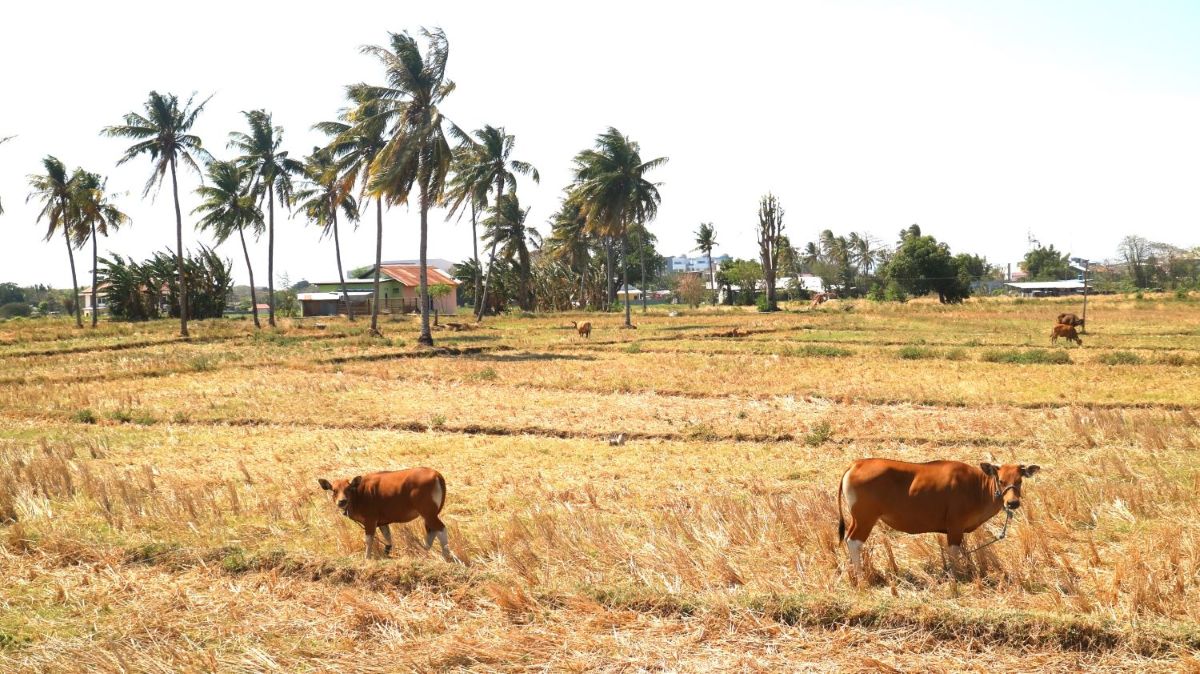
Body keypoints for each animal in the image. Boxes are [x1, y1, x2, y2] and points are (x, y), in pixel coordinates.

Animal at [316, 465, 456, 558]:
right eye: (334, 490)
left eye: (348, 489)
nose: (342, 501)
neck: (360, 494)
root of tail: (436, 474)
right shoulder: (382, 522)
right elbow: (388, 537)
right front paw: (387, 552)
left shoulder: (370, 520)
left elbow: (369, 540)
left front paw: (367, 558)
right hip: (429, 515)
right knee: (432, 532)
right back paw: (424, 551)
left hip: (428, 513)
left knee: (441, 529)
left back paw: (445, 555)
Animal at [835, 458, 1041, 575]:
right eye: (1001, 480)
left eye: (1019, 481)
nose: (1012, 503)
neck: (976, 487)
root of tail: (856, 464)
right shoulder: (955, 526)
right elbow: (954, 553)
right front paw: (957, 576)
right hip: (865, 518)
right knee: (854, 542)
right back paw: (861, 576)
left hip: (857, 518)